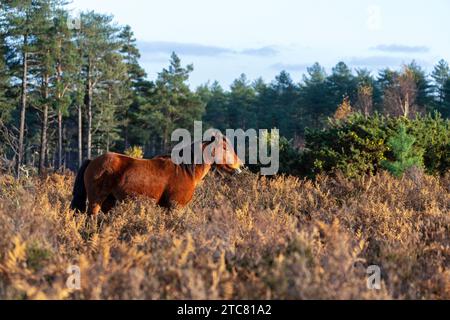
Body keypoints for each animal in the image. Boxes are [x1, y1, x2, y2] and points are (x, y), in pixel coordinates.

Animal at [70, 134, 243, 216]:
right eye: (225, 148)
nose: (240, 166)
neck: (185, 170)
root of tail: (92, 161)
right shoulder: (174, 207)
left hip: (109, 202)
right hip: (95, 200)